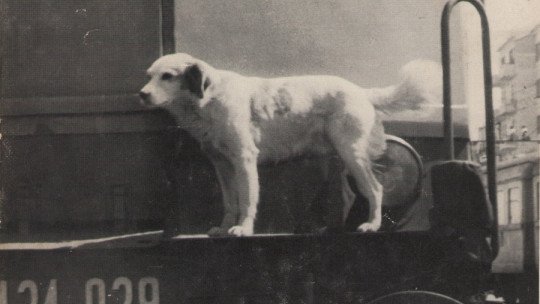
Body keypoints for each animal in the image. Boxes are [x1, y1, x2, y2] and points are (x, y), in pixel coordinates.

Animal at [140, 53, 434, 236]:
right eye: (149, 75)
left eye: (167, 76)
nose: (142, 94)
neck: (209, 98)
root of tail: (360, 91)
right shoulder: (222, 166)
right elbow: (230, 202)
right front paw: (223, 229)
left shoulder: (244, 160)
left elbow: (247, 199)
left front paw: (243, 229)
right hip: (342, 158)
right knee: (349, 195)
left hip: (353, 154)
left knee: (375, 189)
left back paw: (371, 225)